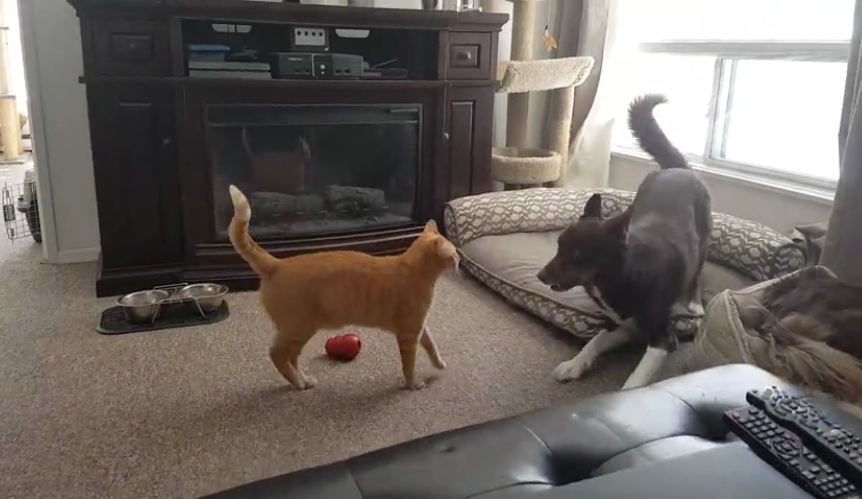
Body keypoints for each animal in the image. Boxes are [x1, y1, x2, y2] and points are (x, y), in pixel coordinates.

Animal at [230, 185, 460, 390]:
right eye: (454, 253)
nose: (459, 261)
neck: (412, 268)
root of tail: (278, 263)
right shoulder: (408, 333)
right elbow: (409, 365)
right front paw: (413, 384)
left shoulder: (420, 326)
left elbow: (431, 345)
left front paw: (439, 363)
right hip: (298, 328)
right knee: (276, 354)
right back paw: (297, 382)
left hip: (296, 332)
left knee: (291, 357)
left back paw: (303, 380)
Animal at [540, 94, 716, 390]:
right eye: (558, 246)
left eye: (577, 255)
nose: (540, 276)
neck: (622, 274)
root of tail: (677, 168)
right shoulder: (621, 325)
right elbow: (594, 341)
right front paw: (574, 365)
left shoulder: (662, 338)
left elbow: (636, 380)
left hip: (703, 240)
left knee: (696, 273)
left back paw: (693, 303)